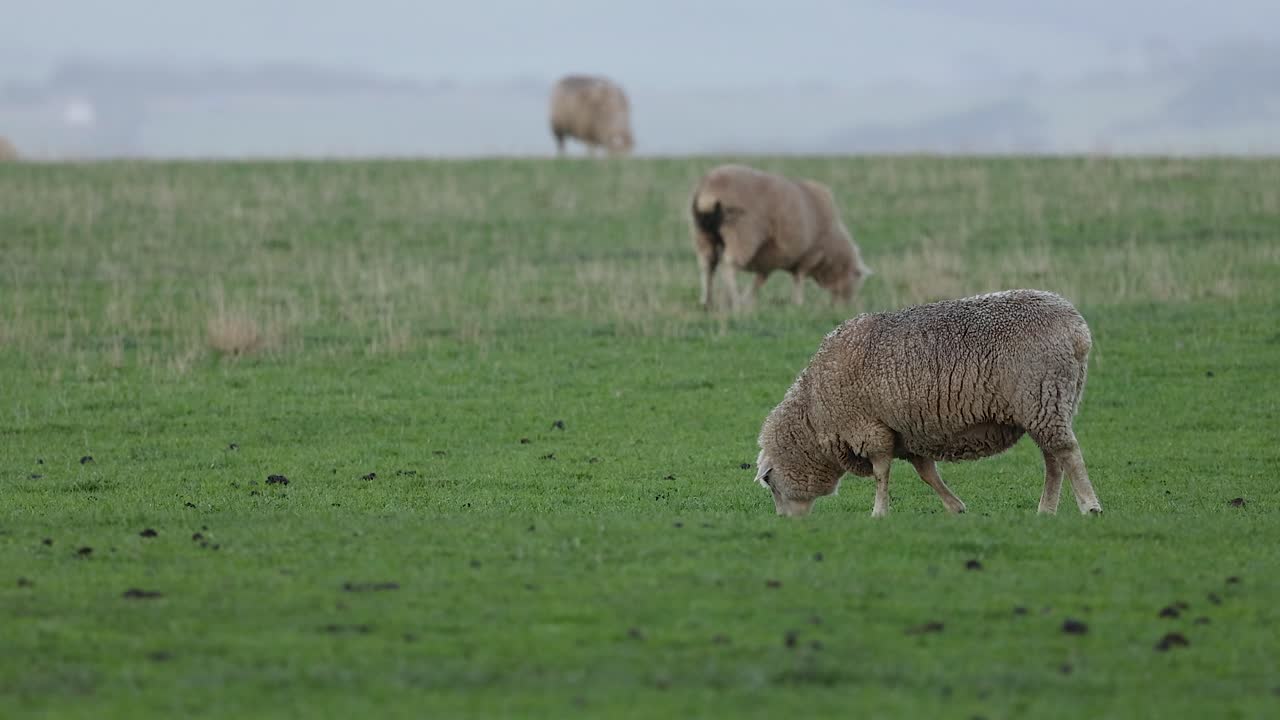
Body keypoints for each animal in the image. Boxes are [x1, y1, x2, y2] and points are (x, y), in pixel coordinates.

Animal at [689, 164, 870, 310]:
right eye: (857, 278)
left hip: (703, 234)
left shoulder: (768, 260)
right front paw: (798, 303)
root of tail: (709, 190)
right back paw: (735, 302)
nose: (844, 307)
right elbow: (799, 279)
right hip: (741, 232)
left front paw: (749, 300)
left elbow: (760, 280)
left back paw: (707, 302)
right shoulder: (808, 256)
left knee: (706, 265)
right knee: (729, 266)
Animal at [752, 289, 1102, 518]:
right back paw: (1046, 510)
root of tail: (1077, 329)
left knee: (1066, 452)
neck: (814, 414)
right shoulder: (908, 433)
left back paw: (1089, 506)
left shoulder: (871, 429)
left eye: (770, 482)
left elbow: (881, 473)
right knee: (1053, 459)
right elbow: (927, 474)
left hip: (1042, 396)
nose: (784, 520)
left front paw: (879, 512)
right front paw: (955, 507)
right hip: (1049, 403)